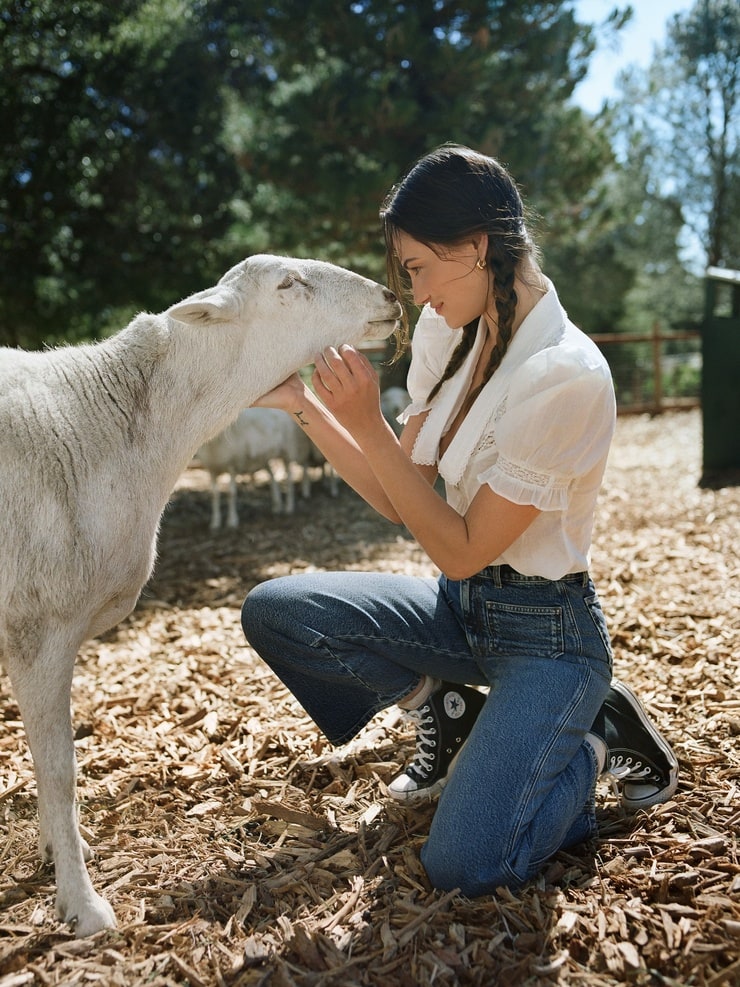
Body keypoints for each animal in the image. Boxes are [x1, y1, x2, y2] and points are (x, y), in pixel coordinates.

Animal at [0, 253, 398, 932]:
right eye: (287, 284)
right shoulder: (38, 625)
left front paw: (60, 851)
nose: (388, 296)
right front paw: (83, 905)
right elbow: (58, 769)